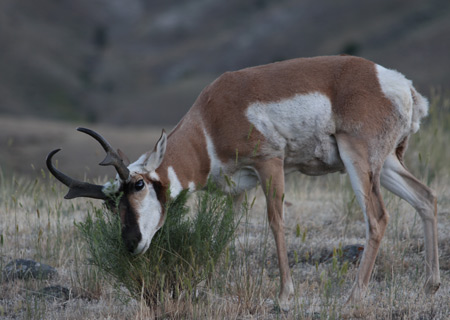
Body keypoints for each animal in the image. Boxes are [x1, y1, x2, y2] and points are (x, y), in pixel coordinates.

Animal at [45, 56, 440, 306]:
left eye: (138, 185)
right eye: (111, 205)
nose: (131, 244)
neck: (211, 117)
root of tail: (396, 83)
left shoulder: (270, 164)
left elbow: (276, 222)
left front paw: (284, 297)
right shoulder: (235, 191)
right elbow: (223, 233)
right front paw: (203, 290)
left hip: (358, 160)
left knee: (378, 217)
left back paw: (353, 297)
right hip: (385, 165)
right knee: (427, 198)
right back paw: (431, 285)